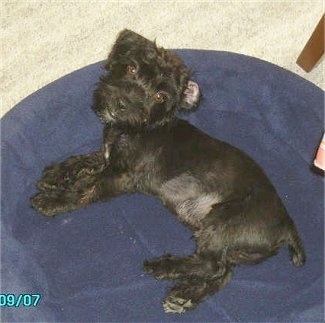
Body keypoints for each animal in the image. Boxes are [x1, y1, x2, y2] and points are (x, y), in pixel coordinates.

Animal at [31, 29, 304, 314]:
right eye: (131, 68)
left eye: (160, 96)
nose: (122, 104)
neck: (137, 128)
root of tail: (287, 227)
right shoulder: (108, 158)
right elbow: (84, 161)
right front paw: (55, 175)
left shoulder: (121, 177)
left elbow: (86, 188)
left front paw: (52, 201)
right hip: (229, 244)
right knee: (222, 272)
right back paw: (185, 296)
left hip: (223, 219)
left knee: (211, 265)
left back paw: (162, 267)